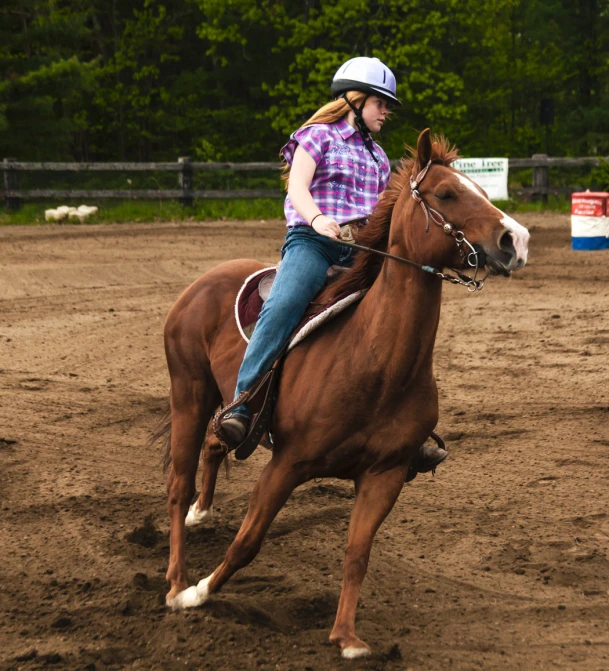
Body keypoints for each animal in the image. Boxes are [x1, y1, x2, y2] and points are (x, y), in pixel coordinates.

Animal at [160, 129, 528, 660]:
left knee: (217, 441)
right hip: (187, 392)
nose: (515, 240)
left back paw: (201, 512)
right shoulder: (286, 464)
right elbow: (248, 541)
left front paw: (347, 637)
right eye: (445, 193)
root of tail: (202, 283)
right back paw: (175, 583)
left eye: (479, 188)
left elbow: (357, 552)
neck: (374, 362)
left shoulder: (385, 474)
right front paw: (199, 593)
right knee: (177, 484)